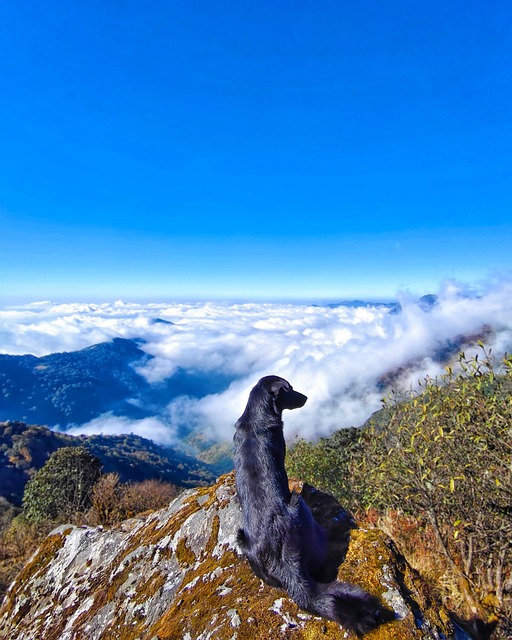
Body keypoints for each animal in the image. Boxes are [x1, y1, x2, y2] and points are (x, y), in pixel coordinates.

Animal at [235, 376, 388, 636]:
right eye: (290, 389)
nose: (306, 397)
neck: (255, 419)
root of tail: (285, 566)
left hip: (242, 539)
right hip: (300, 505)